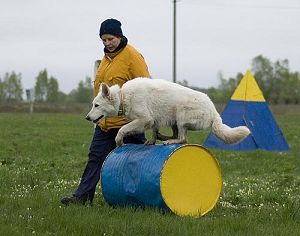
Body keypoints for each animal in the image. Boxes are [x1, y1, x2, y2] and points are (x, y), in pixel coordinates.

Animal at [85, 77, 250, 146]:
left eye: (96, 105)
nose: (87, 118)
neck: (123, 96)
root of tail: (214, 111)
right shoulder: (153, 121)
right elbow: (152, 131)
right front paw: (152, 140)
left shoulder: (145, 119)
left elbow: (123, 129)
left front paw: (119, 141)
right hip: (174, 121)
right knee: (177, 135)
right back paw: (163, 137)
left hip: (181, 115)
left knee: (183, 139)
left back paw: (169, 140)